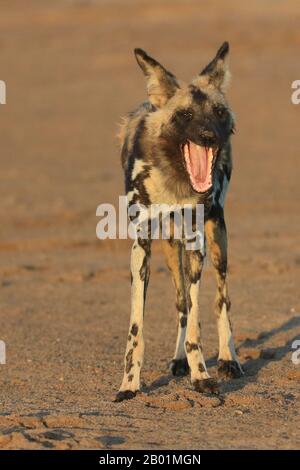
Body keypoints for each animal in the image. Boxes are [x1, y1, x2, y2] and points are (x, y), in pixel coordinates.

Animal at [115, 42, 244, 400]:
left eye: (219, 112)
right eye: (185, 115)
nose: (209, 136)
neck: (173, 176)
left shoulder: (197, 244)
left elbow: (201, 315)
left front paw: (201, 376)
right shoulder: (141, 246)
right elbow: (137, 327)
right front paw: (129, 383)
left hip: (217, 240)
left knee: (220, 298)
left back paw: (228, 359)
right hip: (171, 248)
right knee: (182, 302)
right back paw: (178, 360)